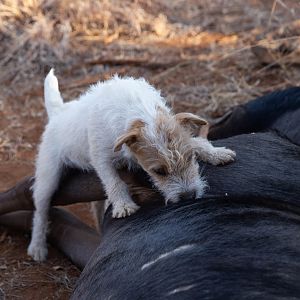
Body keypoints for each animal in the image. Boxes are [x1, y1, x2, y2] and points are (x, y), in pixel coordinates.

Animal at [28, 69, 234, 260]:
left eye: (191, 158)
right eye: (159, 171)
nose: (189, 196)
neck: (138, 111)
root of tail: (58, 114)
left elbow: (197, 142)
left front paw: (216, 153)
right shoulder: (101, 158)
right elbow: (114, 182)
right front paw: (124, 205)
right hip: (48, 177)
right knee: (40, 211)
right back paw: (37, 246)